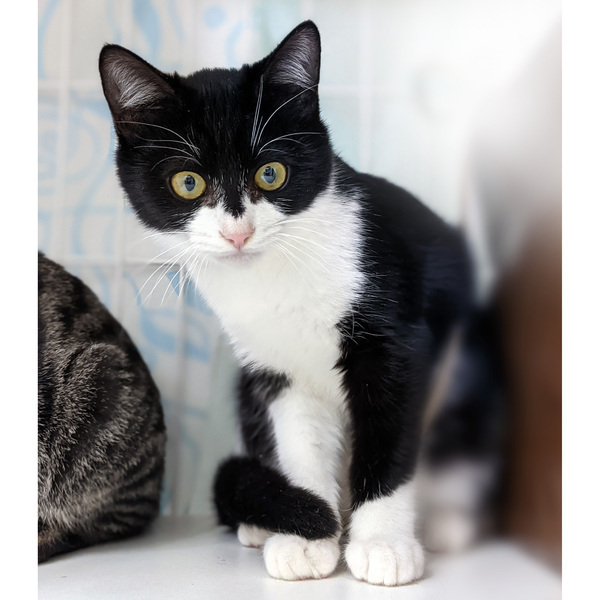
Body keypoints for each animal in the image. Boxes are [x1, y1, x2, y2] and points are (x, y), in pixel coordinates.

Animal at [99, 21, 499, 585]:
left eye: (270, 174)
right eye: (187, 182)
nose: (237, 233)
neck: (273, 279)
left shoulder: (394, 338)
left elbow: (390, 437)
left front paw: (382, 544)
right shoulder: (276, 368)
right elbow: (299, 442)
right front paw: (308, 536)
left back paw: (445, 522)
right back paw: (262, 522)